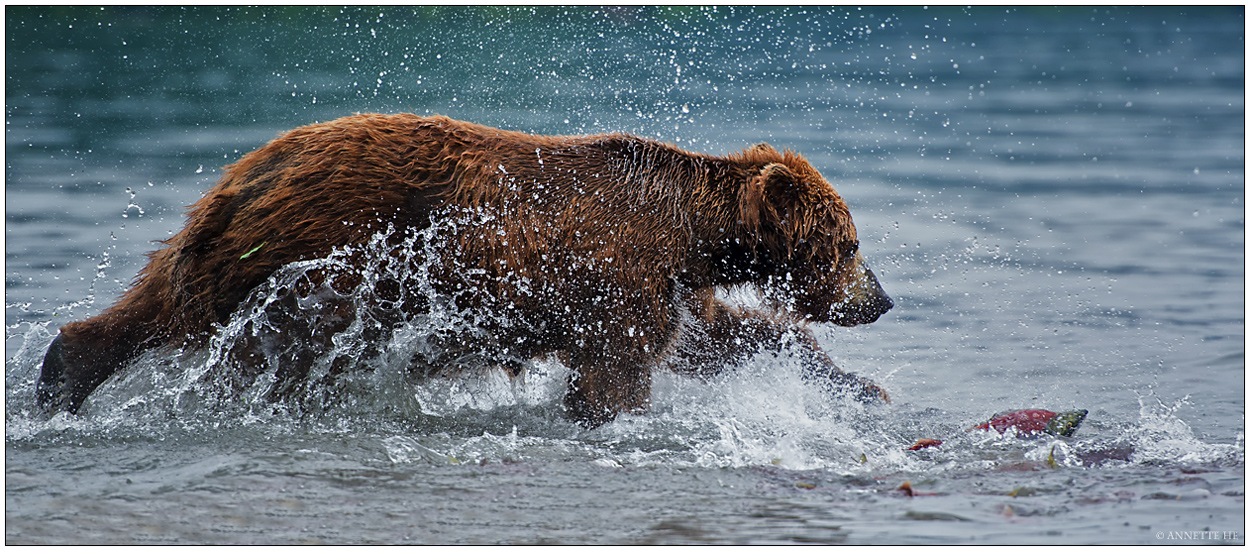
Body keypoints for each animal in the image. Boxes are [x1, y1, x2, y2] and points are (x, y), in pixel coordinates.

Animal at [39, 113, 895, 427]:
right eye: (852, 242)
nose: (882, 299)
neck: (695, 232)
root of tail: (250, 169)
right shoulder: (622, 275)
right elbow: (617, 375)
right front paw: (606, 414)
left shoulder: (671, 288)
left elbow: (724, 336)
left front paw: (863, 385)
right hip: (316, 259)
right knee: (237, 336)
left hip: (237, 247)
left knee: (155, 303)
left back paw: (64, 373)